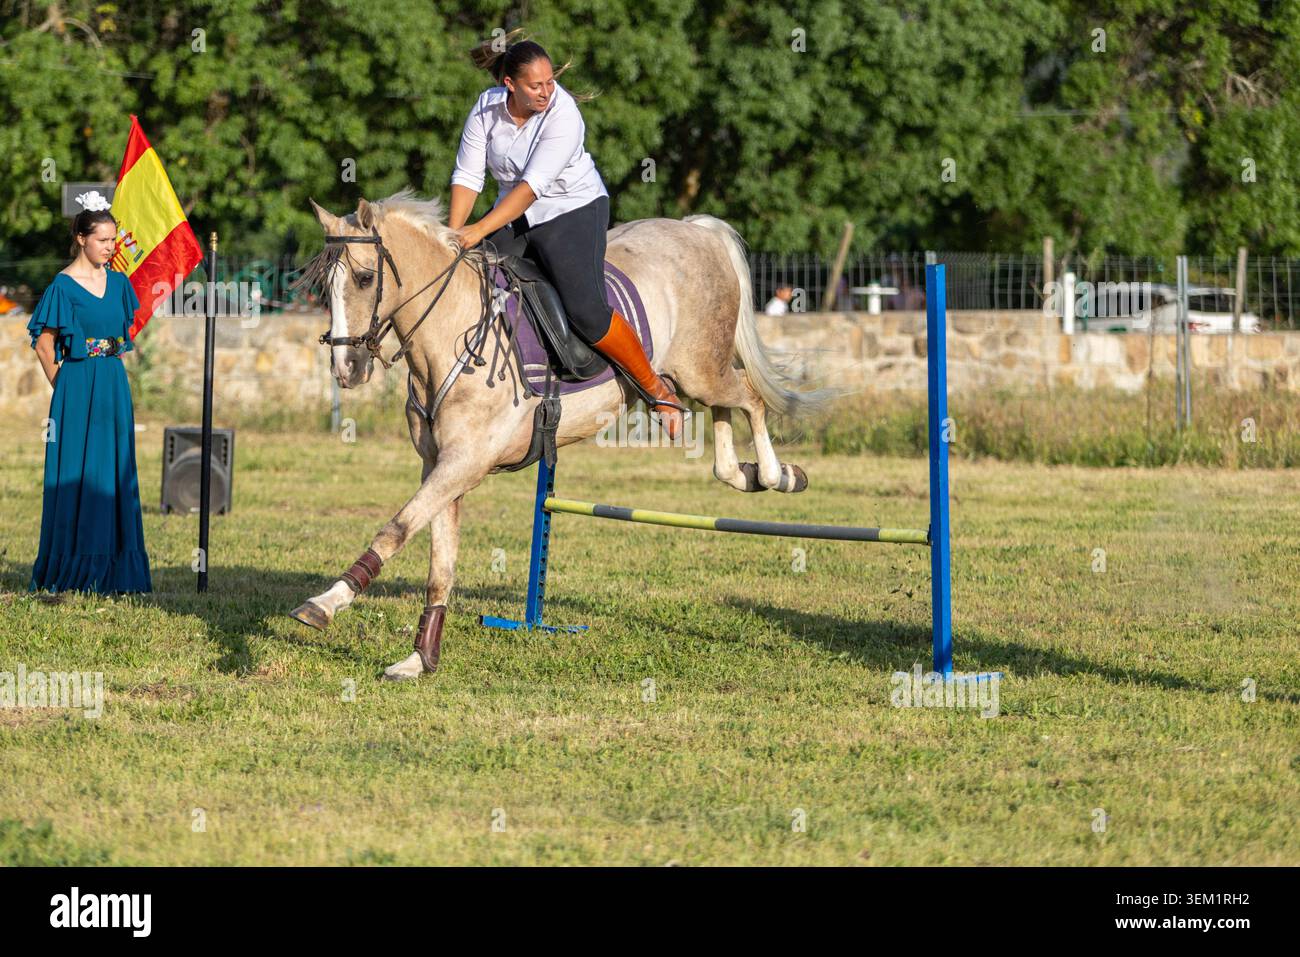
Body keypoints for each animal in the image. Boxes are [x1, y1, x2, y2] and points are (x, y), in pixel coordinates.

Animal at [290, 189, 832, 679]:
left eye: (365, 278)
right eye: (324, 284)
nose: (346, 368)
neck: (450, 332)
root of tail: (695, 230)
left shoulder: (466, 463)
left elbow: (396, 529)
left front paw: (326, 602)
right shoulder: (440, 466)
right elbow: (438, 563)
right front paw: (420, 658)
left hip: (702, 368)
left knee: (749, 397)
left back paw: (777, 475)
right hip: (686, 377)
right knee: (721, 413)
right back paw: (745, 474)